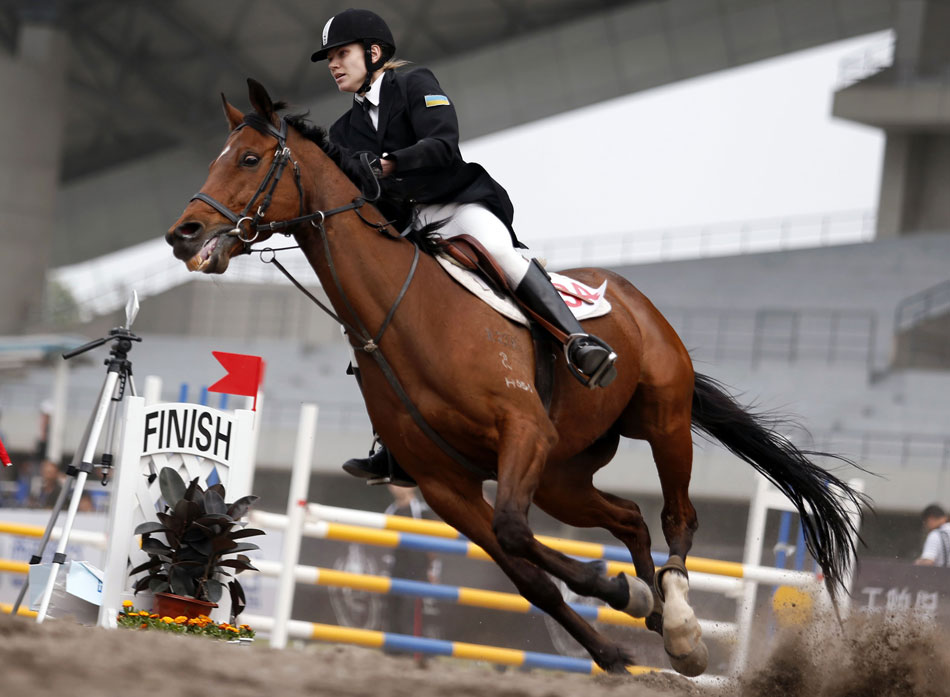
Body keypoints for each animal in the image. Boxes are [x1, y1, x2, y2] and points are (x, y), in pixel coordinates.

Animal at [167, 80, 868, 676]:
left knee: (677, 519)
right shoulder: (445, 484)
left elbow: (514, 531)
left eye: (250, 159)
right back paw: (656, 616)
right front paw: (614, 638)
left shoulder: (520, 432)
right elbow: (527, 571)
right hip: (563, 475)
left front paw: (613, 590)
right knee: (629, 519)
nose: (184, 235)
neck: (403, 314)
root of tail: (636, 299)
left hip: (662, 421)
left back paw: (683, 629)